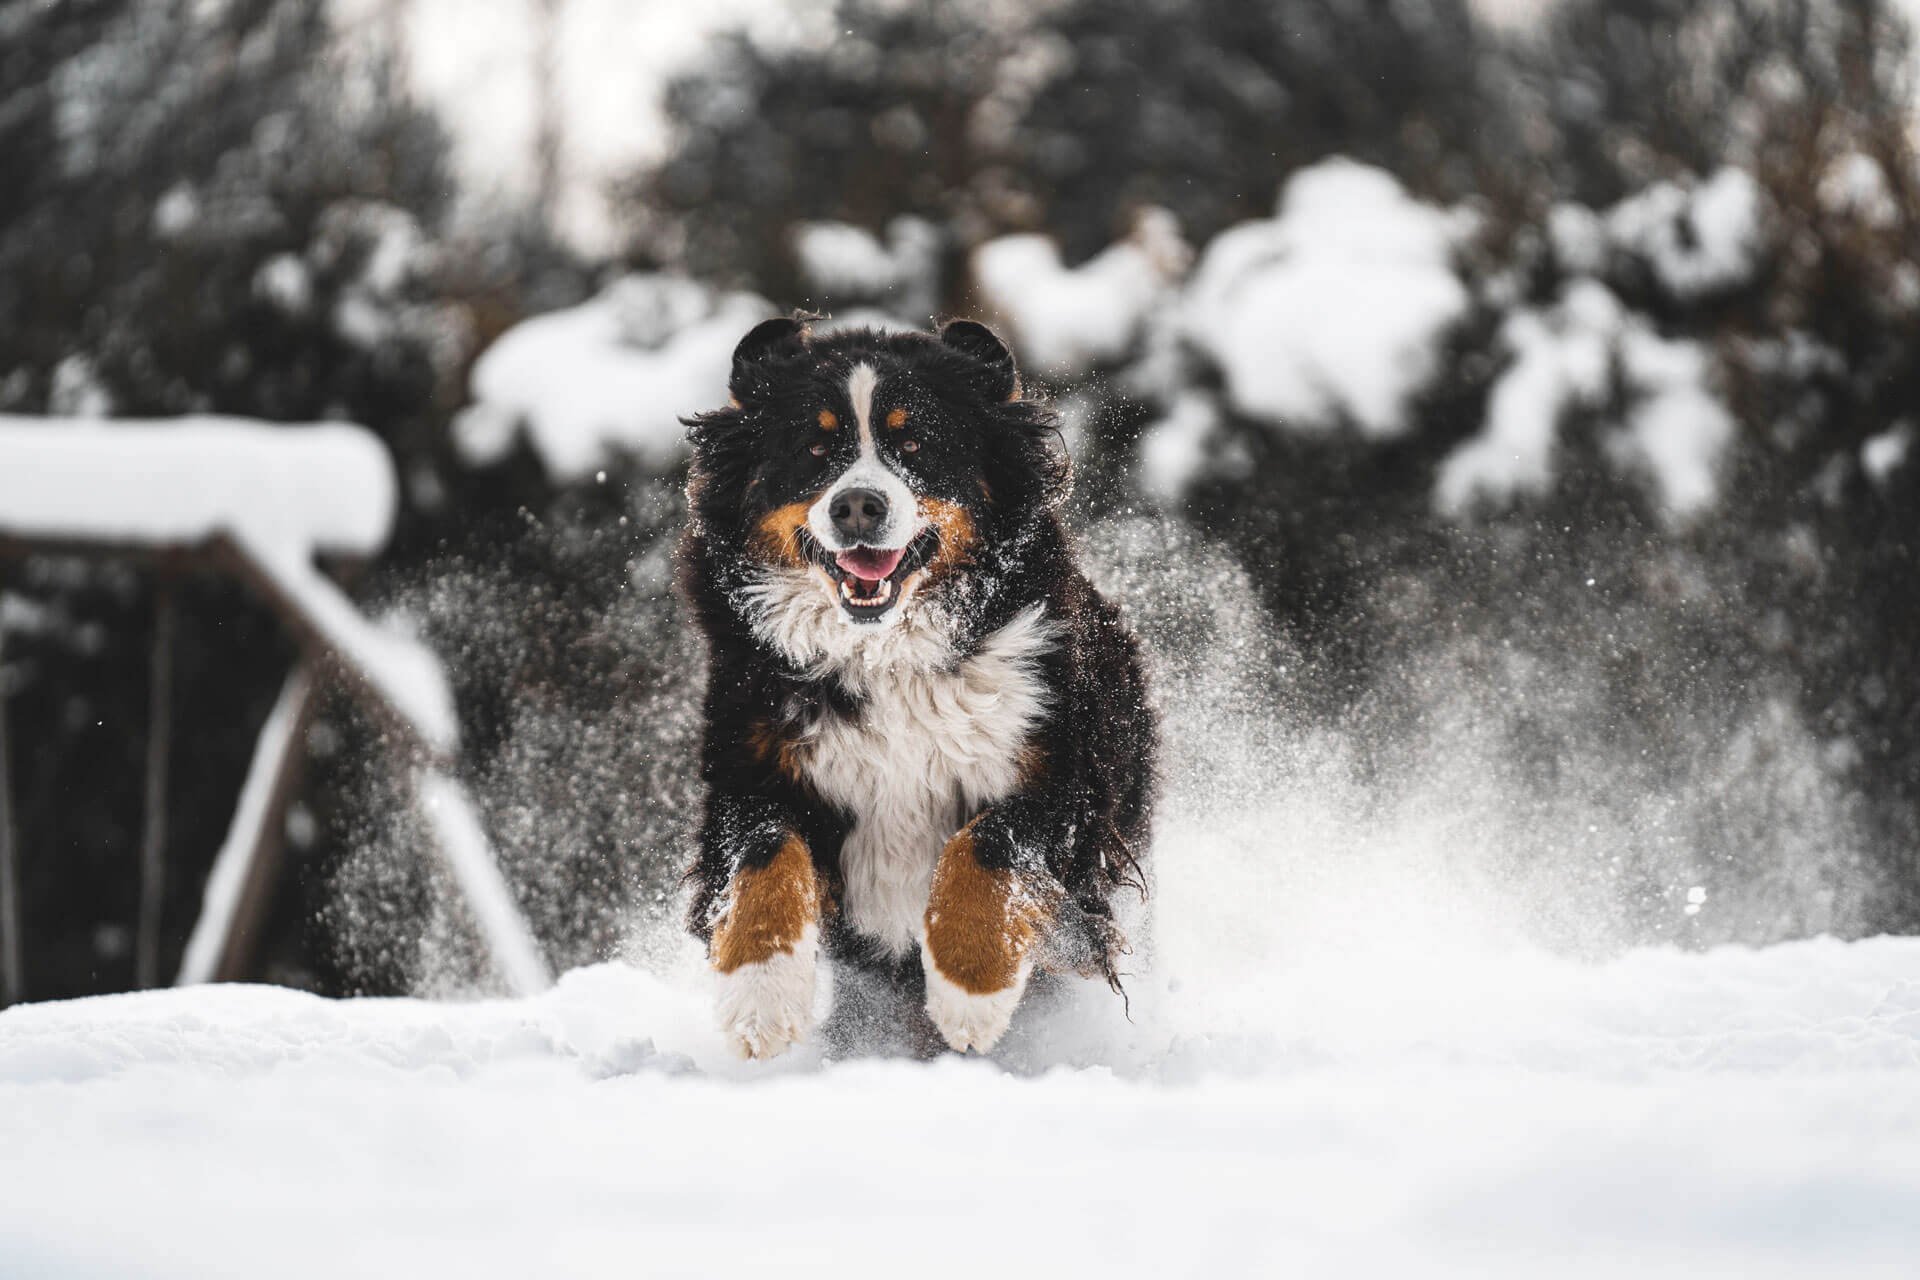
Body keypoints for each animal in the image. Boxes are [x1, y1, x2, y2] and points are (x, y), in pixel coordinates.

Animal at [679, 314, 1152, 1059]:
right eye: (815, 447)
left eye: (915, 443)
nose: (858, 506)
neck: (885, 656)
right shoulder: (749, 764)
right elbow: (762, 861)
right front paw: (761, 1000)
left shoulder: (1065, 775)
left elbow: (985, 849)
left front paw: (969, 995)